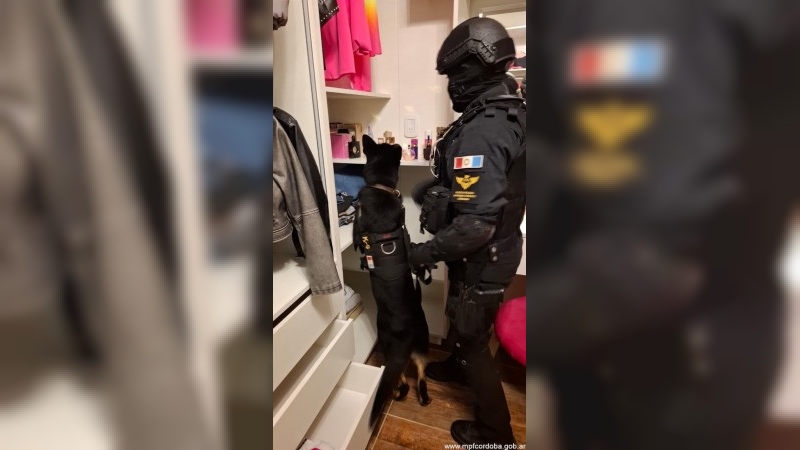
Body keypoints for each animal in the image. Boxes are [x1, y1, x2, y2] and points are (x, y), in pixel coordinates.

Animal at [354, 135, 431, 426]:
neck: (381, 187)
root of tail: (405, 333)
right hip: (422, 343)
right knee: (419, 375)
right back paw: (423, 397)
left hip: (387, 346)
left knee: (401, 380)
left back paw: (398, 392)